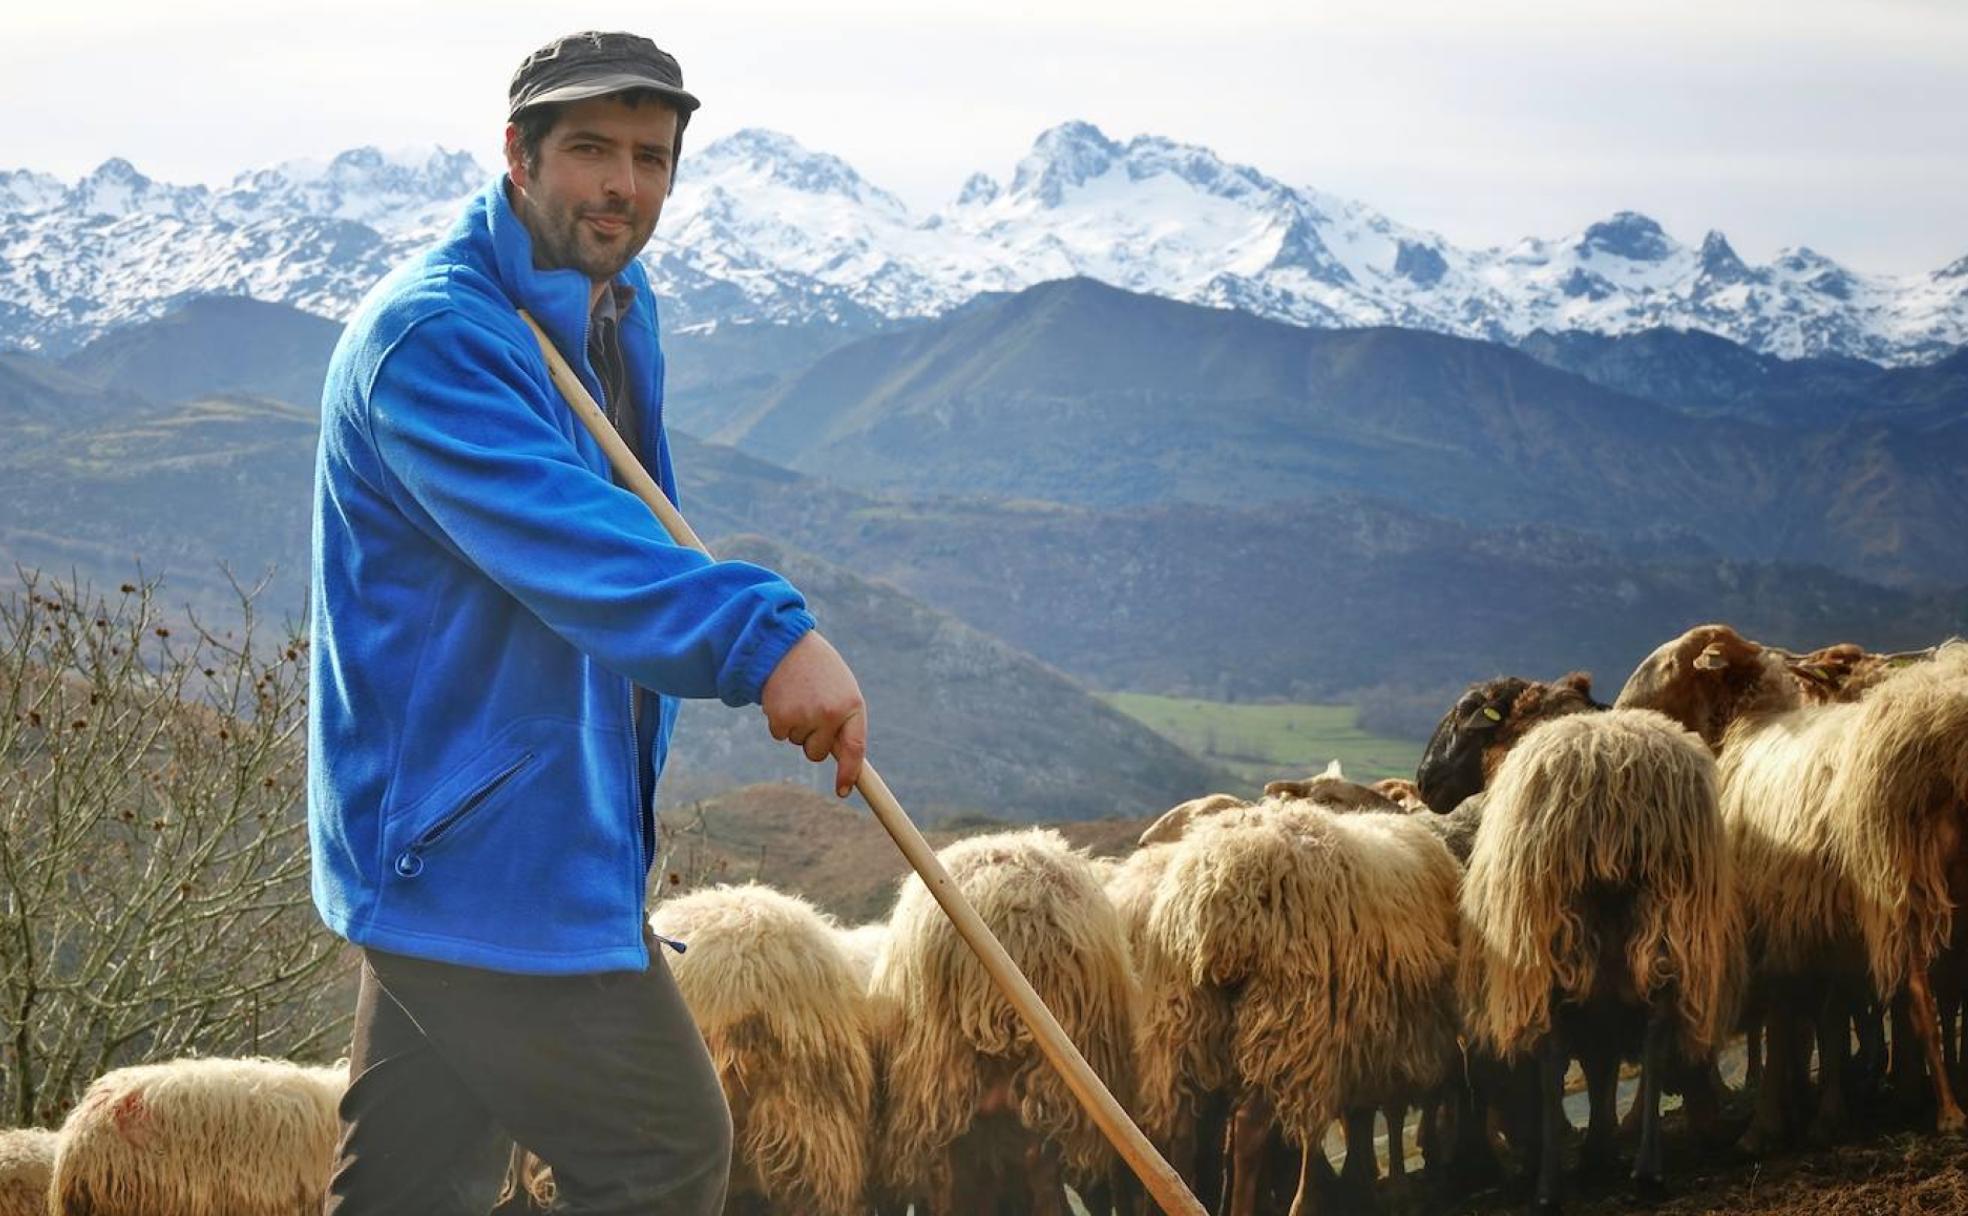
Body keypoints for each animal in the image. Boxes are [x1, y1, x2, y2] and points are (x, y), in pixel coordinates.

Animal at [1613, 625, 1968, 1149]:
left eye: (1670, 664)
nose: (1617, 709)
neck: (1750, 726)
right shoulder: (1813, 916)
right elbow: (1820, 1017)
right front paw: (1821, 1111)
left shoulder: (1774, 913)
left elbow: (1786, 1018)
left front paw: (1767, 1123)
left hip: (1902, 882)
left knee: (1920, 995)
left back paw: (1947, 1111)